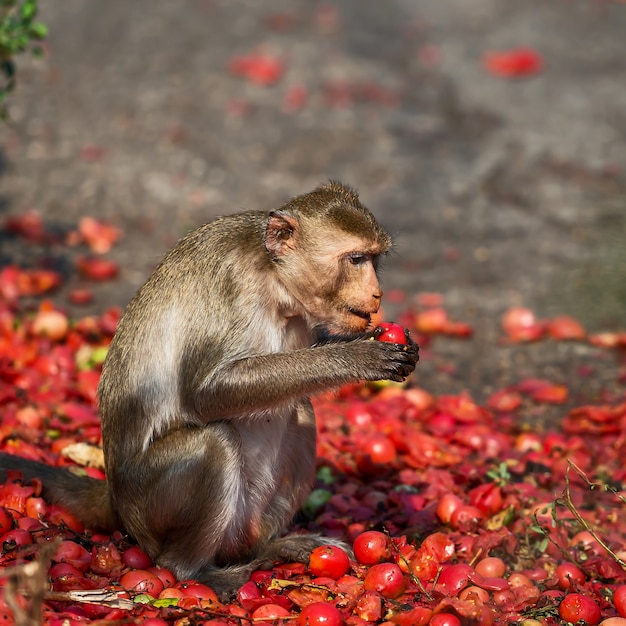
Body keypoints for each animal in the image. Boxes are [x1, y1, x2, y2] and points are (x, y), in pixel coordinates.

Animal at [2, 180, 420, 596]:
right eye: (356, 259)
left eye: (374, 260)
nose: (378, 293)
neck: (276, 283)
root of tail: (116, 501)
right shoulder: (233, 285)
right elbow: (206, 392)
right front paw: (359, 357)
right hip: (148, 508)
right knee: (214, 442)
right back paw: (195, 571)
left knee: (300, 410)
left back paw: (272, 547)